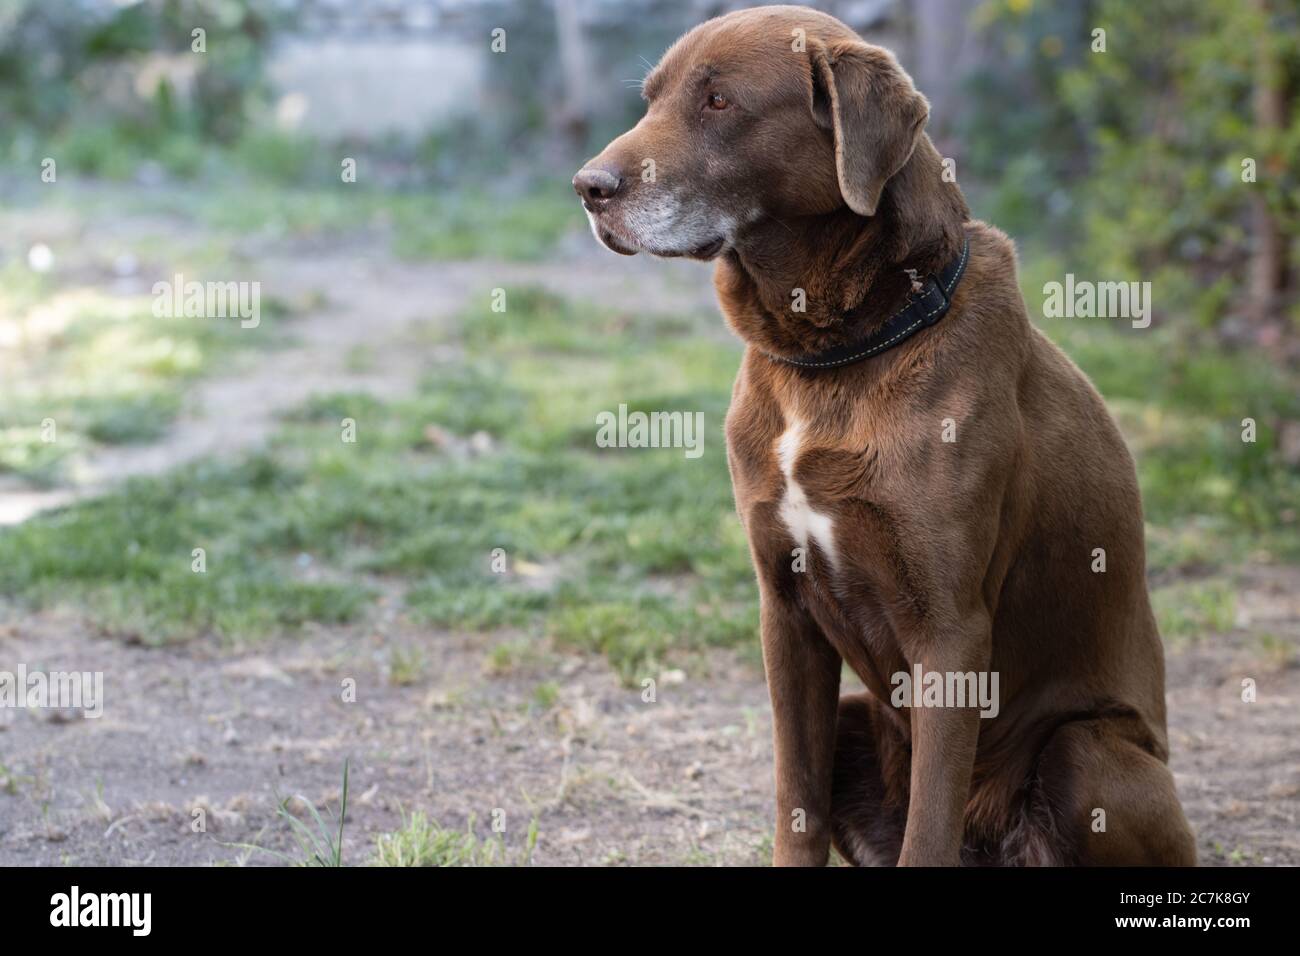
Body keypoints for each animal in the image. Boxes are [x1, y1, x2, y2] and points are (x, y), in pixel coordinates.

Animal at [574, 3, 1190, 868]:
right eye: (652, 98)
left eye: (720, 102)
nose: (587, 187)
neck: (834, 355)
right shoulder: (785, 612)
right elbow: (795, 801)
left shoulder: (952, 633)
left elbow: (928, 827)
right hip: (858, 718)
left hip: (1090, 753)